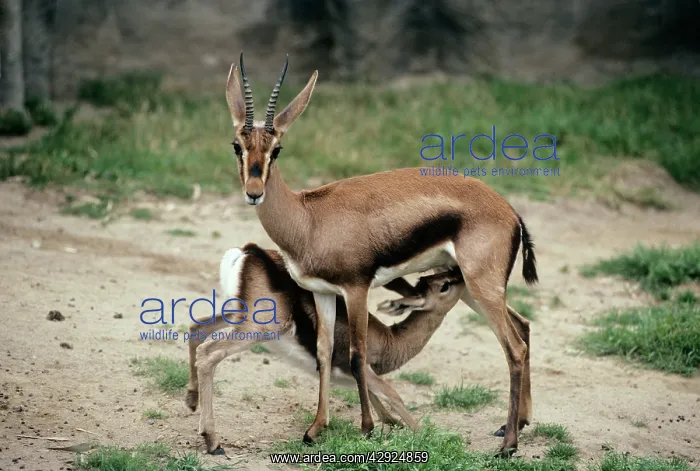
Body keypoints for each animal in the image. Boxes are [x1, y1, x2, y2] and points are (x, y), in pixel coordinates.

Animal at [185, 243, 467, 454]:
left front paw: (391, 425)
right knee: (208, 353)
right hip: (259, 328)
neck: (390, 339)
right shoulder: (363, 368)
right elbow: (392, 393)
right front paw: (433, 437)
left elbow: (379, 403)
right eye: (444, 285)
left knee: (197, 328)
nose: (460, 274)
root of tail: (249, 252)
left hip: (236, 316)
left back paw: (191, 401)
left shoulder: (357, 376)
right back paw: (213, 441)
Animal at [224, 53, 538, 457]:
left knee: (514, 347)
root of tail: (510, 210)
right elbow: (324, 351)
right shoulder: (322, 292)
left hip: (481, 287)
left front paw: (368, 428)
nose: (254, 192)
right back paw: (517, 425)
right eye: (237, 145)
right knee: (524, 325)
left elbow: (357, 354)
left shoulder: (357, 290)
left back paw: (509, 445)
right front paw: (315, 429)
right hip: (470, 287)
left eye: (276, 149)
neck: (308, 219)